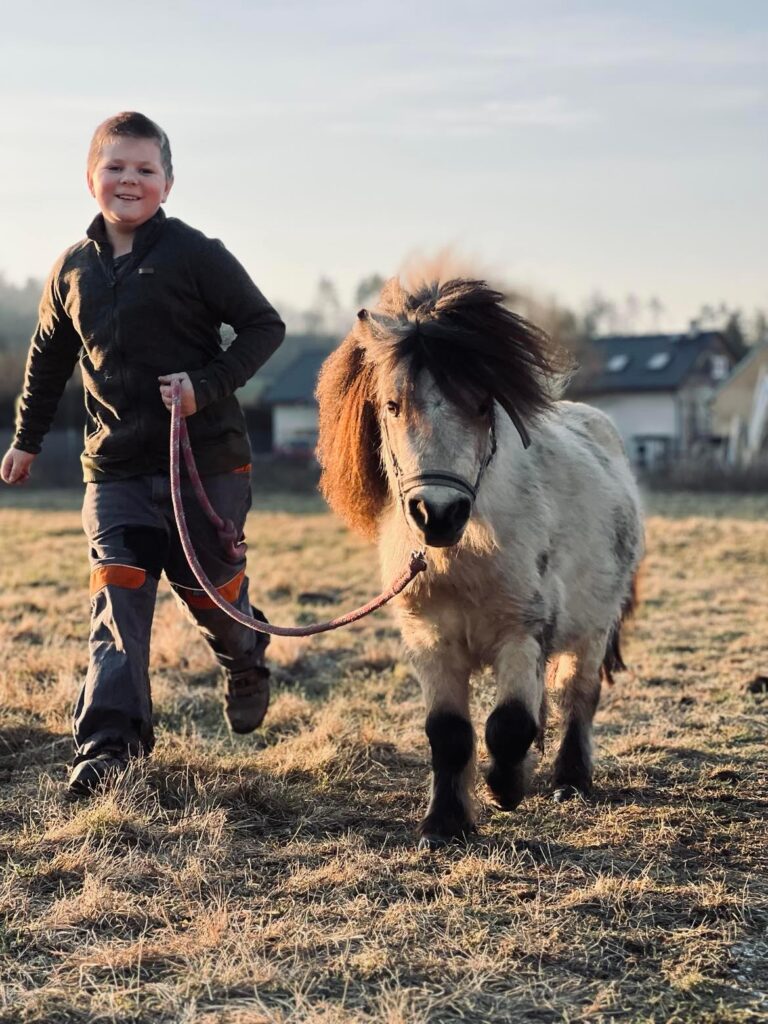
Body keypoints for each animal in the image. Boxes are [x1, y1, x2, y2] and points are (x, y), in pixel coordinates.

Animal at [313, 268, 643, 843]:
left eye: (484, 404)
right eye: (393, 406)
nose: (438, 513)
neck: (462, 558)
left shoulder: (521, 633)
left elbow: (509, 724)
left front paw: (505, 787)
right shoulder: (431, 640)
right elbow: (449, 733)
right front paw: (446, 822)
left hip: (593, 629)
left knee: (576, 697)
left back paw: (570, 780)